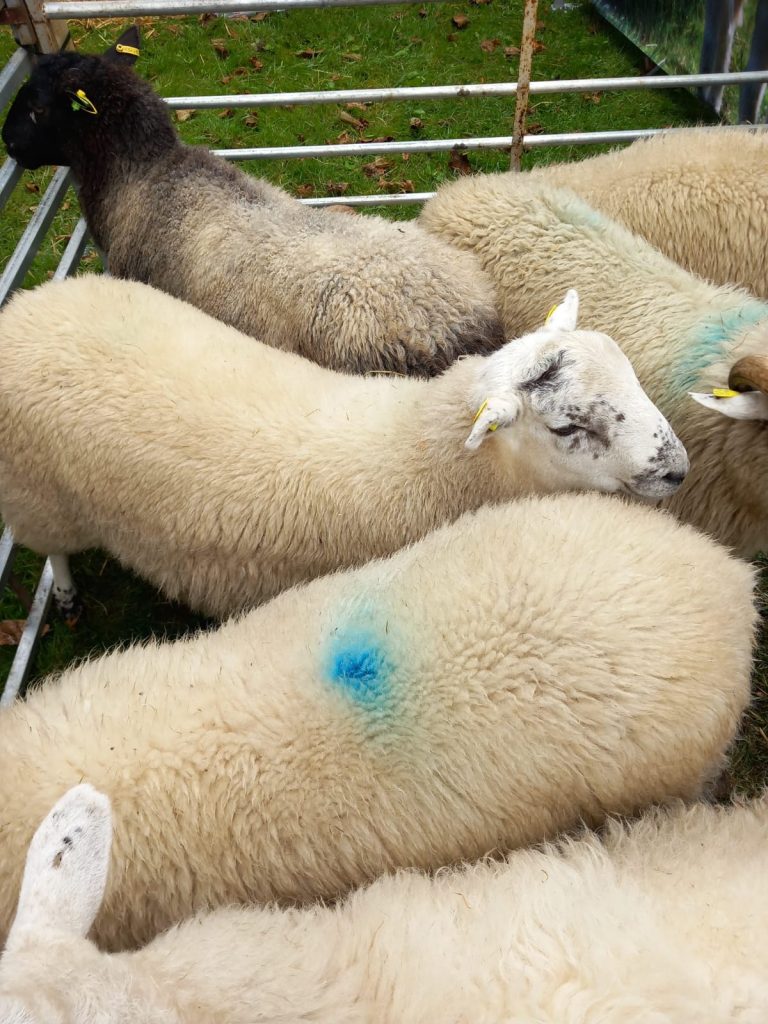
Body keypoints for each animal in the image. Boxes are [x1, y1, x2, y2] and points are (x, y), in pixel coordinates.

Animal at [0, 274, 688, 620]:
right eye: (567, 428)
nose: (677, 470)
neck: (419, 454)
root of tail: (29, 303)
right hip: (38, 495)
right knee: (53, 549)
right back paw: (65, 593)